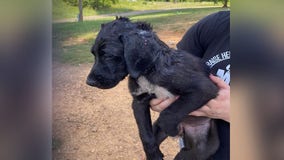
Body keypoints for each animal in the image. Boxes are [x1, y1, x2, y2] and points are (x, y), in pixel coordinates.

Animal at [86, 16, 220, 159]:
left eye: (108, 55)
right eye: (93, 54)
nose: (89, 82)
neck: (148, 71)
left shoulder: (204, 88)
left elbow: (168, 113)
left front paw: (171, 129)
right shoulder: (139, 102)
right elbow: (145, 135)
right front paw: (154, 154)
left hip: (205, 148)